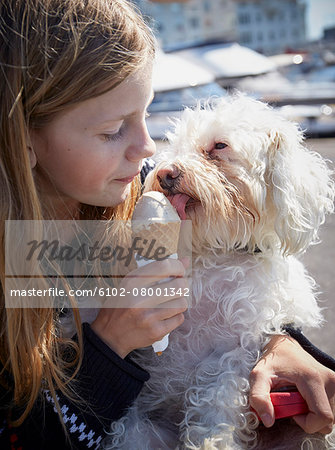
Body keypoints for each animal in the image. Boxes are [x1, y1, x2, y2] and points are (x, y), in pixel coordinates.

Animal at [105, 96, 335, 450]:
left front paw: (211, 440)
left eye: (220, 146)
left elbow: (216, 404)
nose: (166, 172)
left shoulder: (236, 351)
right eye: (176, 145)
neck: (218, 253)